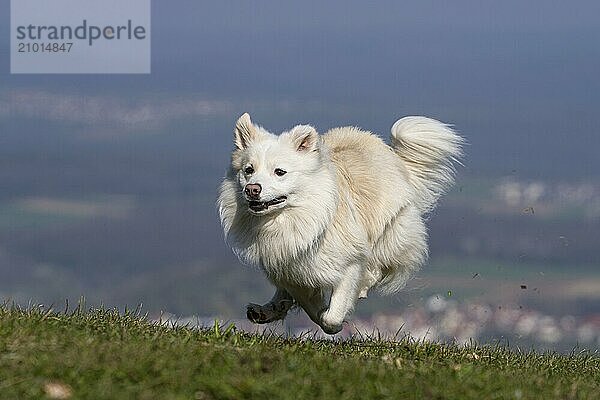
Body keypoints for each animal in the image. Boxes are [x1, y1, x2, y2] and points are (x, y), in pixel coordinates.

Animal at [218, 113, 462, 334]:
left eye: (280, 172)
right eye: (248, 170)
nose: (252, 189)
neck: (291, 218)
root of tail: (389, 152)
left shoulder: (350, 263)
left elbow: (331, 315)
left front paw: (333, 320)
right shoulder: (290, 267)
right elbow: (304, 299)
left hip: (390, 238)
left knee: (377, 268)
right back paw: (265, 311)